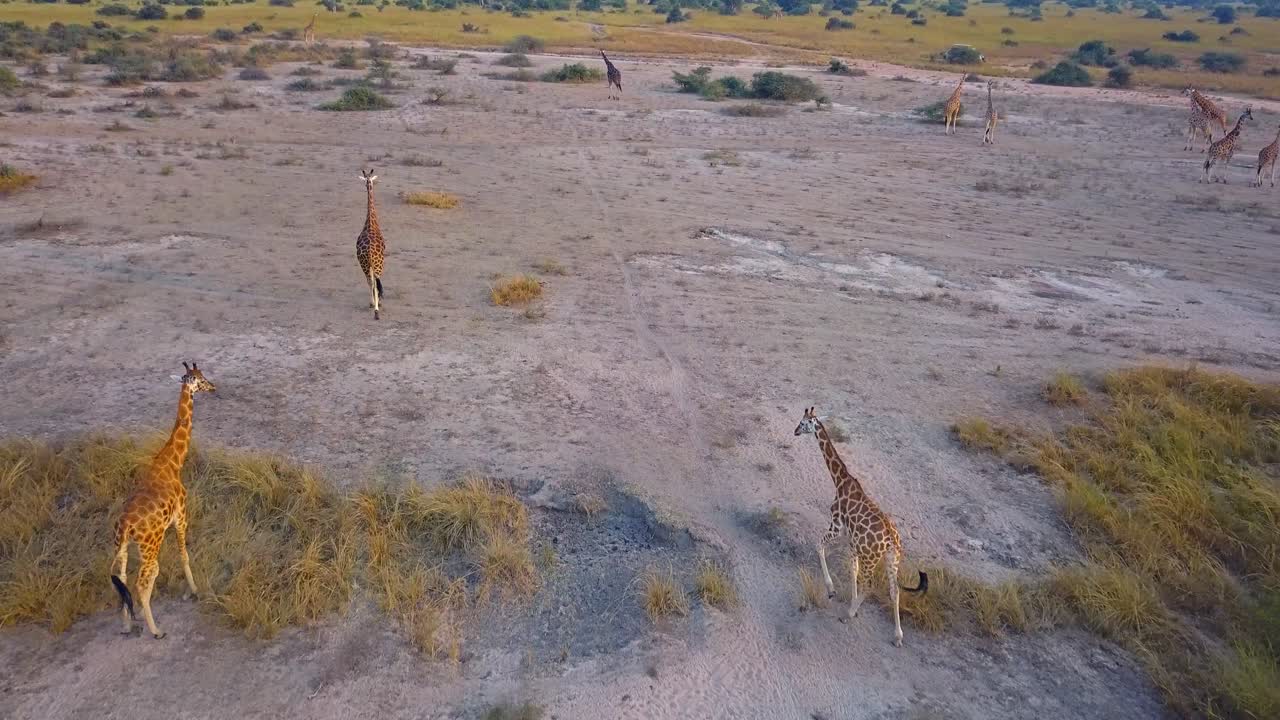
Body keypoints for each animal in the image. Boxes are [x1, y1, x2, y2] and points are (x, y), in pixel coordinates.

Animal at [111, 362, 216, 639]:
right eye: (201, 379)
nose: (213, 387)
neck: (171, 462)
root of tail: (126, 526)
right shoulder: (181, 515)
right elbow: (184, 554)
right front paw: (194, 590)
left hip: (121, 548)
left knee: (122, 580)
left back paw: (127, 625)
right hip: (149, 548)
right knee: (142, 581)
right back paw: (156, 630)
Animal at [794, 407, 928, 647]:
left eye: (802, 422)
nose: (795, 431)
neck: (840, 480)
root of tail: (891, 540)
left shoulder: (837, 525)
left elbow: (819, 546)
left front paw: (833, 591)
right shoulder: (851, 540)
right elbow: (852, 570)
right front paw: (851, 603)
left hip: (872, 558)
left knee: (870, 585)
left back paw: (846, 616)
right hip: (891, 559)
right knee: (894, 590)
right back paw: (898, 636)